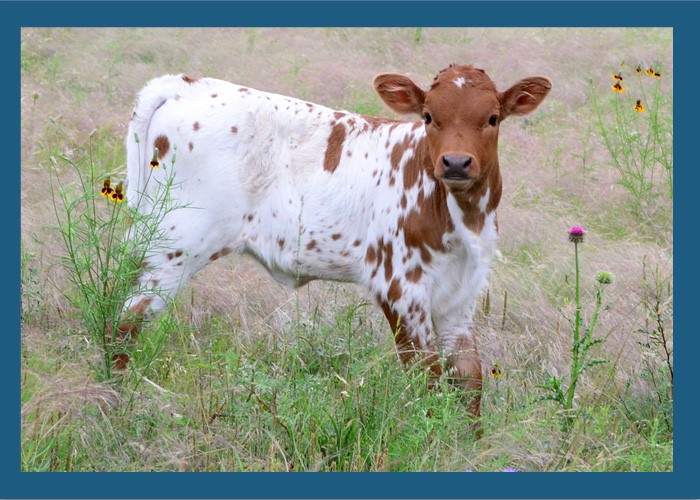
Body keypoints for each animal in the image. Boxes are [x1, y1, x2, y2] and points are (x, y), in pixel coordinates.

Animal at [115, 65, 551, 419]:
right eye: (428, 116)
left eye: (492, 118)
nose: (456, 163)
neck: (460, 216)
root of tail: (186, 86)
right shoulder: (398, 286)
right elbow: (424, 376)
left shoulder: (461, 293)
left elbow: (469, 377)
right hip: (173, 245)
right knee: (125, 320)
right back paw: (114, 402)